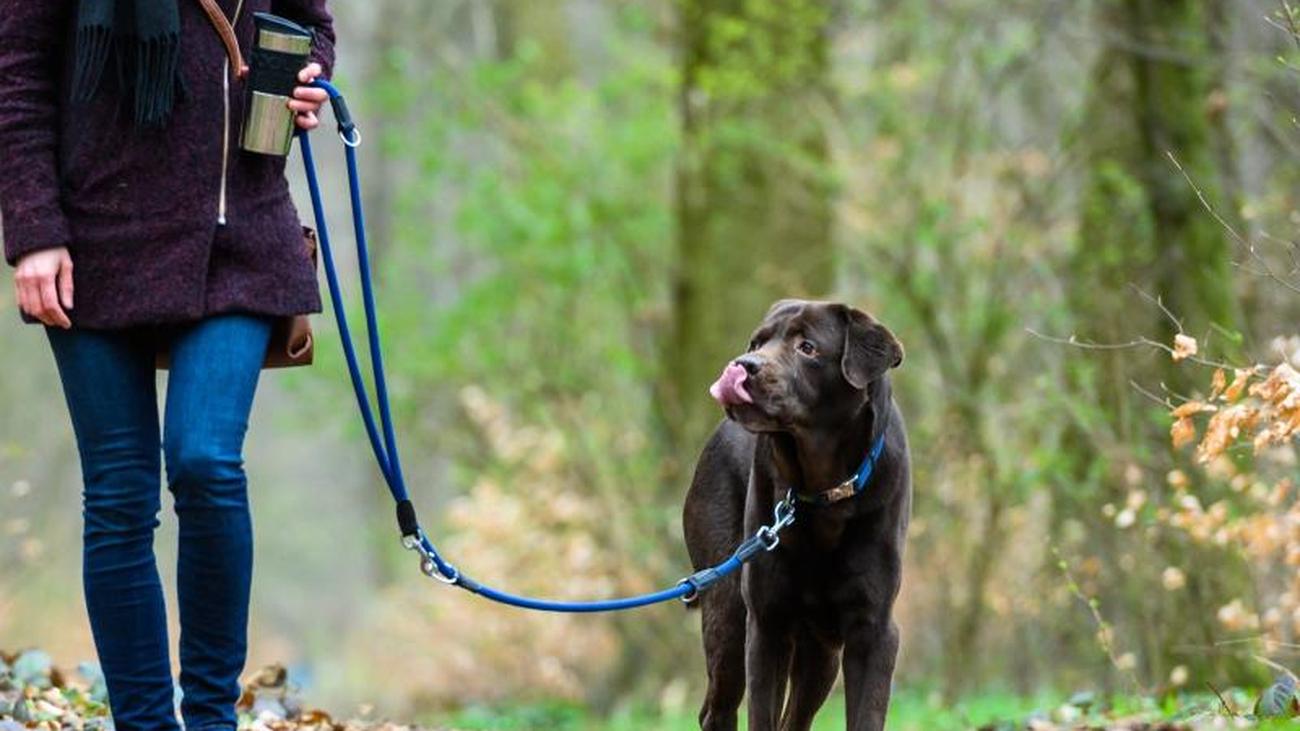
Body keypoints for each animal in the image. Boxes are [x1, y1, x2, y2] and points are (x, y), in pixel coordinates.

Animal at [686, 297, 909, 728]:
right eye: (757, 342)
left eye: (807, 347)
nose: (743, 364)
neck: (823, 491)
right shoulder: (766, 622)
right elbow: (761, 714)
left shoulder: (873, 630)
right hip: (728, 609)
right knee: (719, 707)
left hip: (821, 651)